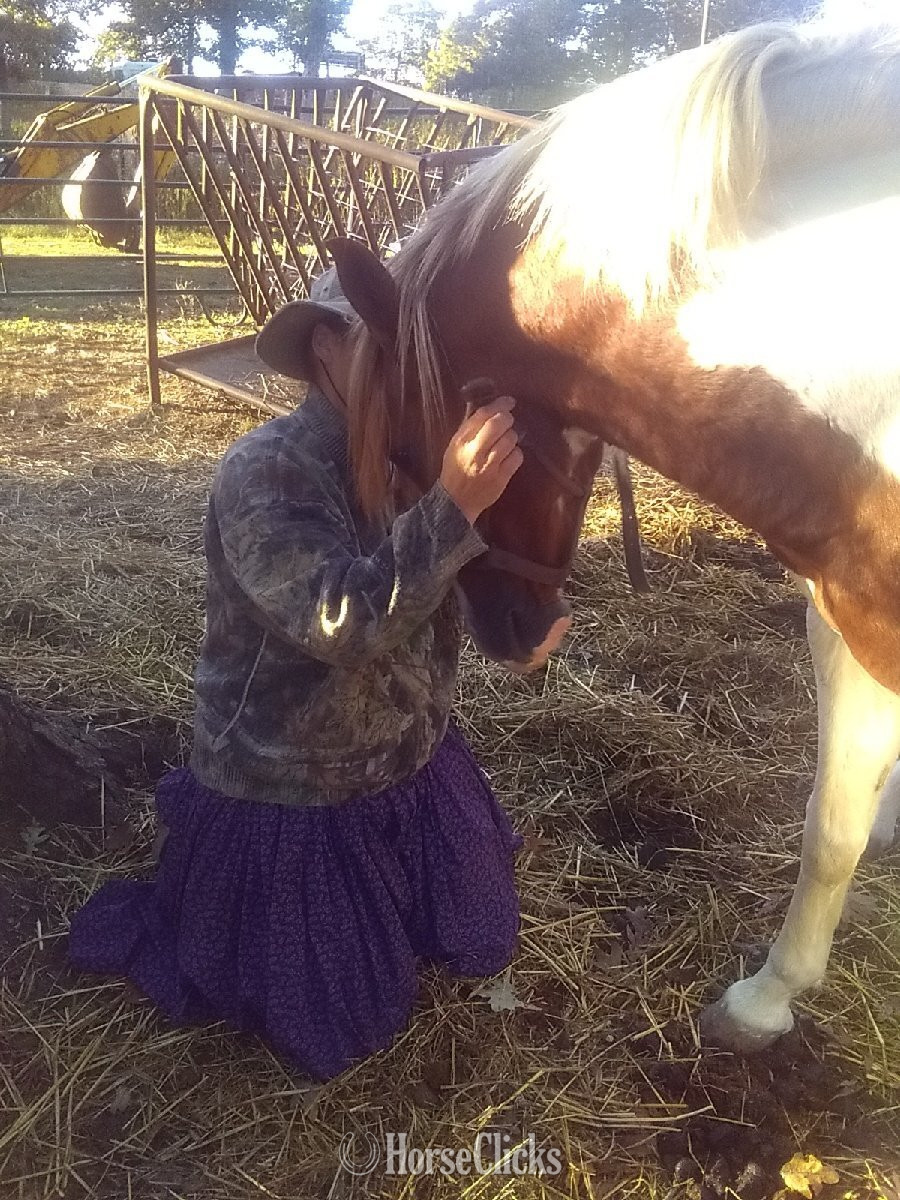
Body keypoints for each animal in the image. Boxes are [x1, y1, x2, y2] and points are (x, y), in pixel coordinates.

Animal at [262, 18, 900, 1051]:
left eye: (403, 448)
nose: (519, 632)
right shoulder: (843, 609)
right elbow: (829, 824)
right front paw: (772, 996)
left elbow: (832, 824)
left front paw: (763, 999)